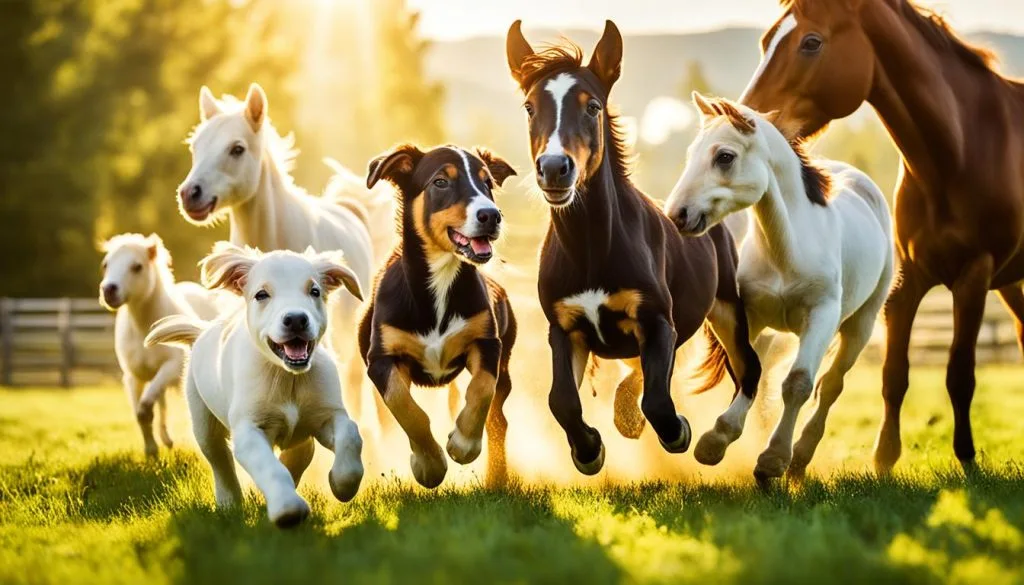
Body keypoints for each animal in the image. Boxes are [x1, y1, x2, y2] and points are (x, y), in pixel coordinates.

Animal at [506, 20, 762, 475]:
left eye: (592, 106)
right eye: (530, 107)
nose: (554, 169)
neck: (591, 248)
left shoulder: (657, 322)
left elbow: (658, 400)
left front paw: (679, 432)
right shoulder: (565, 329)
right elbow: (562, 401)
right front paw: (590, 451)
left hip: (727, 309)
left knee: (748, 369)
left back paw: (713, 443)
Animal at [666, 94, 894, 480]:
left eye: (724, 156)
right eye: (691, 153)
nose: (677, 215)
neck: (787, 251)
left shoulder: (821, 316)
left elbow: (798, 383)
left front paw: (772, 458)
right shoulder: (750, 316)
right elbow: (746, 368)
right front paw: (717, 440)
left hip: (859, 326)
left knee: (830, 385)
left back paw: (799, 459)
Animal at [740, 0, 1024, 474]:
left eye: (811, 42)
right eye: (764, 41)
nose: (744, 117)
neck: (960, 150)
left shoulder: (974, 277)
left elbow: (959, 374)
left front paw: (966, 458)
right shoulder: (907, 281)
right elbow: (894, 374)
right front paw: (885, 457)